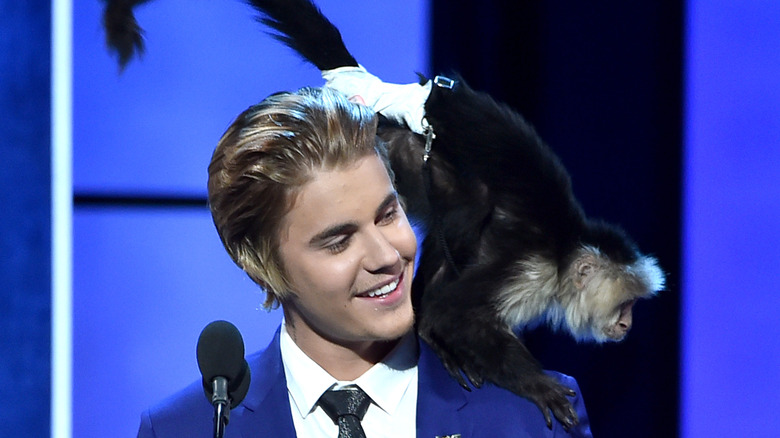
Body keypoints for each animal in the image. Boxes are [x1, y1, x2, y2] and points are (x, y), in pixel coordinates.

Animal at [100, 0, 664, 430]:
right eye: (627, 303)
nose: (628, 324)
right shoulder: (531, 268)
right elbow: (458, 312)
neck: (565, 250)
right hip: (411, 149)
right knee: (468, 207)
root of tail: (378, 99)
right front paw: (533, 381)